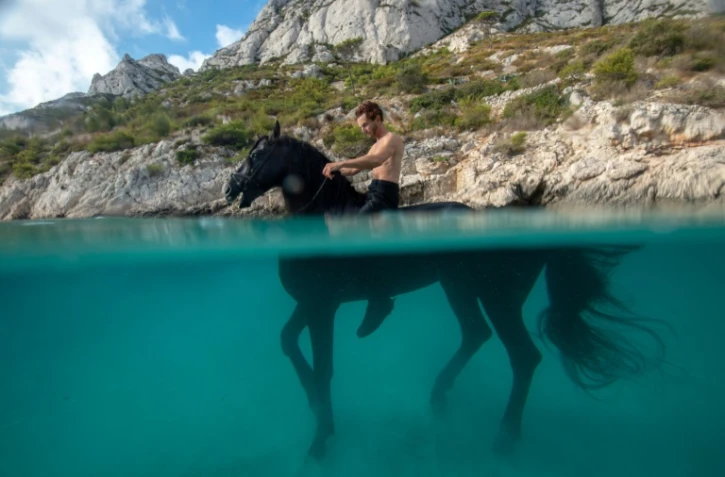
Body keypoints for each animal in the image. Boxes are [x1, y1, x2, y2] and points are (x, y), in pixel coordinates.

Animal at [222, 121, 667, 460]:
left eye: (257, 155)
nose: (230, 188)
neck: (324, 214)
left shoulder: (322, 307)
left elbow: (323, 368)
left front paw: (321, 437)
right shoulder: (311, 303)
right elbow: (288, 343)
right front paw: (314, 405)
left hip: (499, 296)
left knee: (523, 356)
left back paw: (504, 437)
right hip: (458, 285)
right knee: (475, 334)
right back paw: (439, 397)